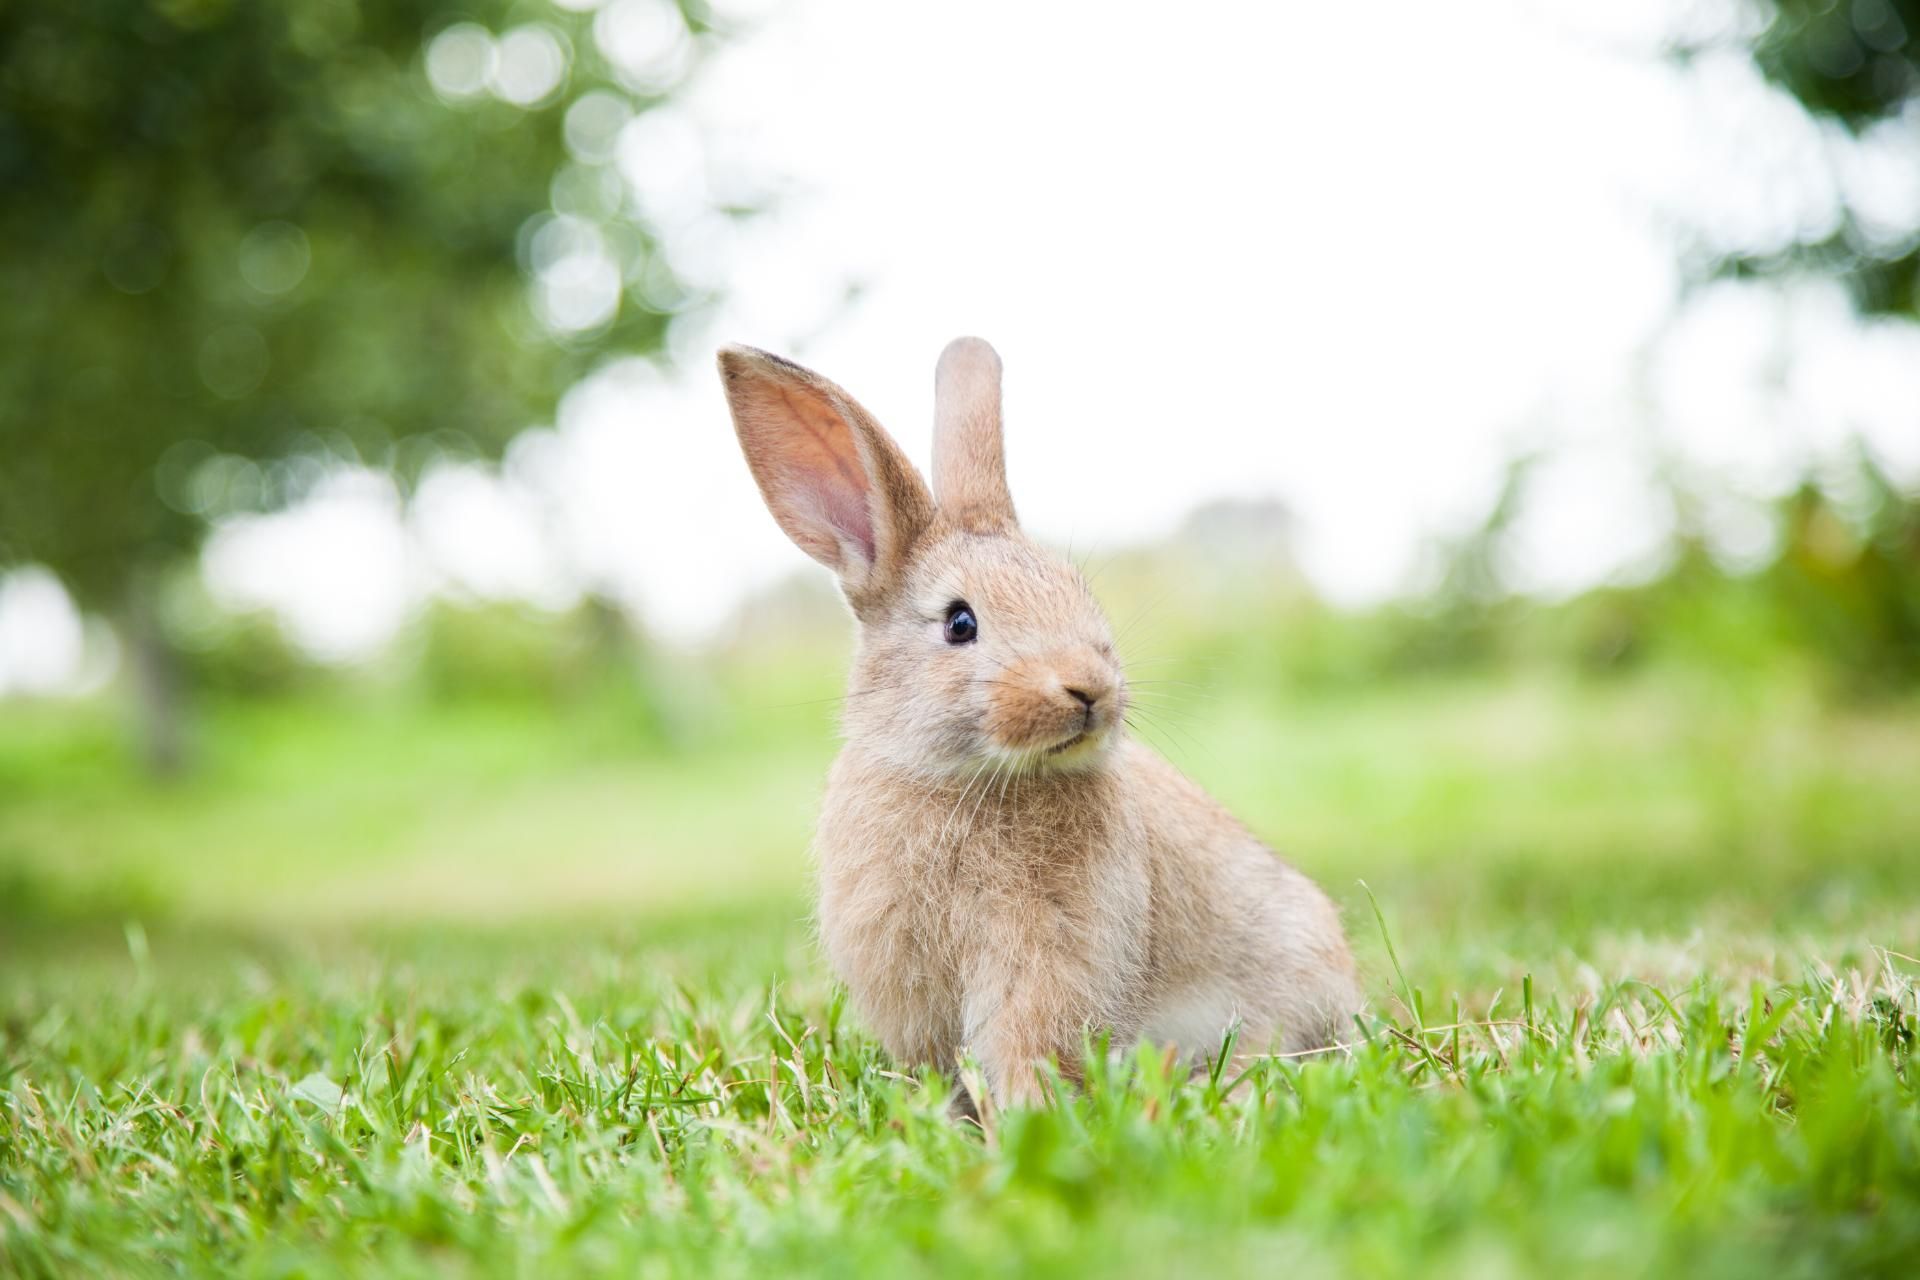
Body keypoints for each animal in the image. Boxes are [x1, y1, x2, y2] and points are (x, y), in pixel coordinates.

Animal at [717, 336, 1361, 1107]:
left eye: (1077, 591)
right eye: (960, 623)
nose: (1090, 689)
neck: (965, 778)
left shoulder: (1048, 960)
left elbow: (1028, 1046)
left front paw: (1028, 1114)